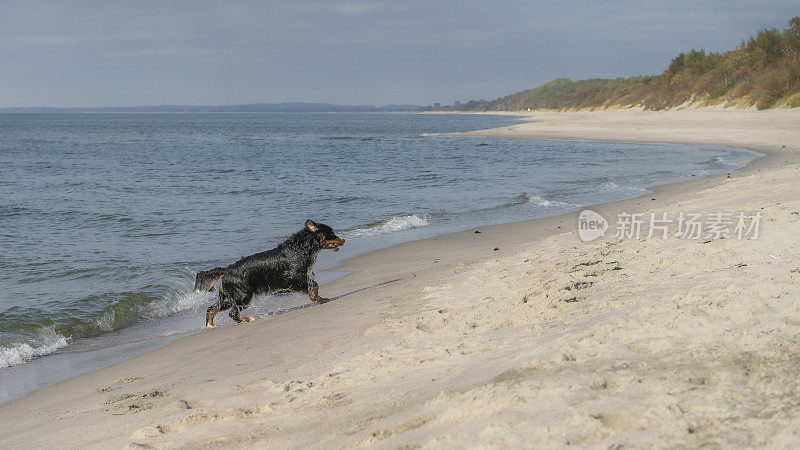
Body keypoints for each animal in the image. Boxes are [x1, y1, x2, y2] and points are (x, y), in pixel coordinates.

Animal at [196, 220, 344, 328]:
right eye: (332, 233)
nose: (343, 240)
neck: (301, 249)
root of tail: (227, 270)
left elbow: (314, 286)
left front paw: (320, 299)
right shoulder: (293, 278)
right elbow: (314, 286)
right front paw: (316, 298)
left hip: (229, 297)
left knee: (212, 308)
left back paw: (210, 326)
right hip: (243, 296)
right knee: (232, 313)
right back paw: (247, 319)